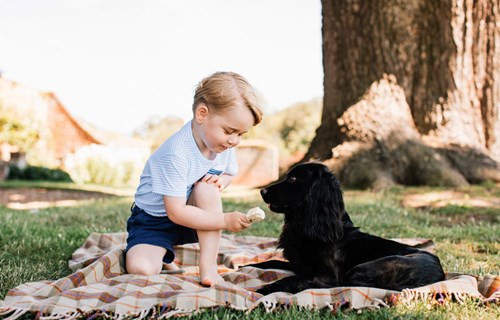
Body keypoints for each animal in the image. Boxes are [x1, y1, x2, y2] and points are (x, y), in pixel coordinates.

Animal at [249, 162, 446, 296]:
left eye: (293, 178)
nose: (262, 191)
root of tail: (440, 275)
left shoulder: (326, 276)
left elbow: (293, 279)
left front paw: (267, 288)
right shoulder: (298, 265)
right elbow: (269, 262)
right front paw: (246, 266)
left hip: (364, 268)